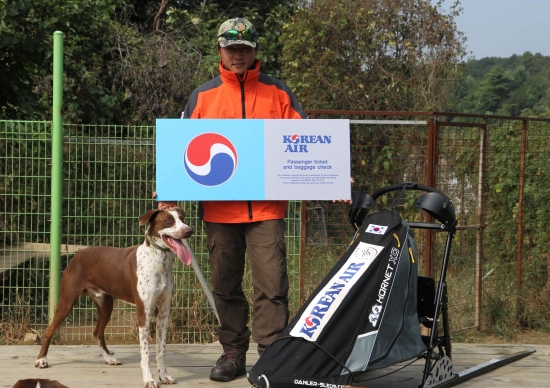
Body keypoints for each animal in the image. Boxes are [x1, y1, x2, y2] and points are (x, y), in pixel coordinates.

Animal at [34, 208, 194, 386]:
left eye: (182, 219)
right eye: (168, 221)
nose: (189, 231)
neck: (158, 261)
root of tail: (77, 254)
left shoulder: (164, 313)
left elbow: (161, 350)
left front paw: (164, 376)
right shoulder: (144, 314)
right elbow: (145, 354)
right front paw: (149, 379)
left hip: (106, 305)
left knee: (97, 332)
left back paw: (108, 358)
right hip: (67, 302)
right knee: (49, 330)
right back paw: (41, 360)